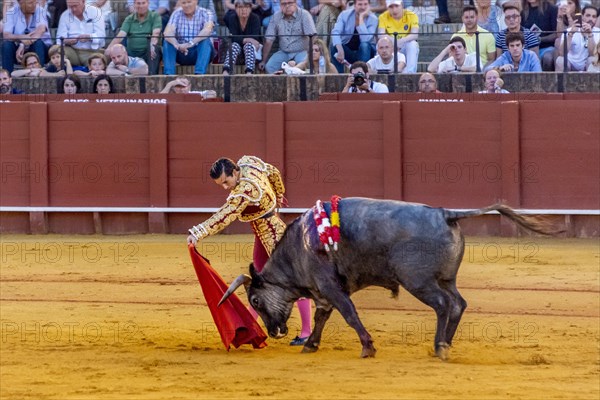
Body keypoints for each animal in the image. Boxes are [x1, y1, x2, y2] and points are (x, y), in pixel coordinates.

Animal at [218, 199, 556, 360]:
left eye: (255, 300)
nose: (274, 332)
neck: (299, 246)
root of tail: (445, 213)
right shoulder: (325, 292)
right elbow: (322, 318)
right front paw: (310, 345)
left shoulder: (329, 287)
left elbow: (349, 315)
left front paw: (368, 347)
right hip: (446, 278)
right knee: (459, 303)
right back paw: (446, 343)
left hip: (418, 281)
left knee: (443, 305)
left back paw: (439, 346)